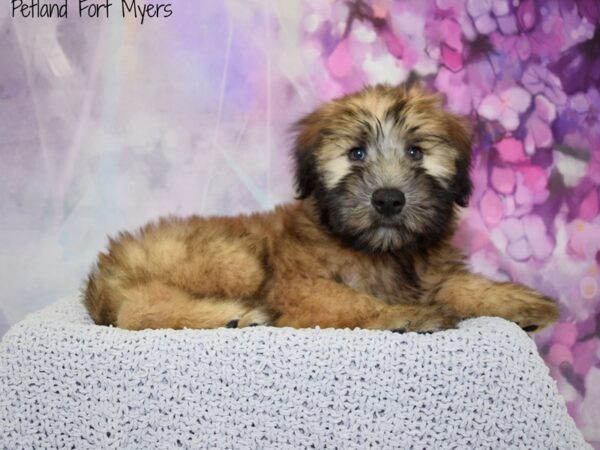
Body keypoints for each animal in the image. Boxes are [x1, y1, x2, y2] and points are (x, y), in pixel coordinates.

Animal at [82, 83, 560, 334]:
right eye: (356, 154)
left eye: (416, 152)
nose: (389, 199)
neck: (380, 253)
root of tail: (104, 268)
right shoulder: (298, 286)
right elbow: (350, 300)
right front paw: (402, 316)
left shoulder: (430, 272)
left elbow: (459, 284)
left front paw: (517, 301)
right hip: (237, 260)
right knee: (133, 310)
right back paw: (232, 316)